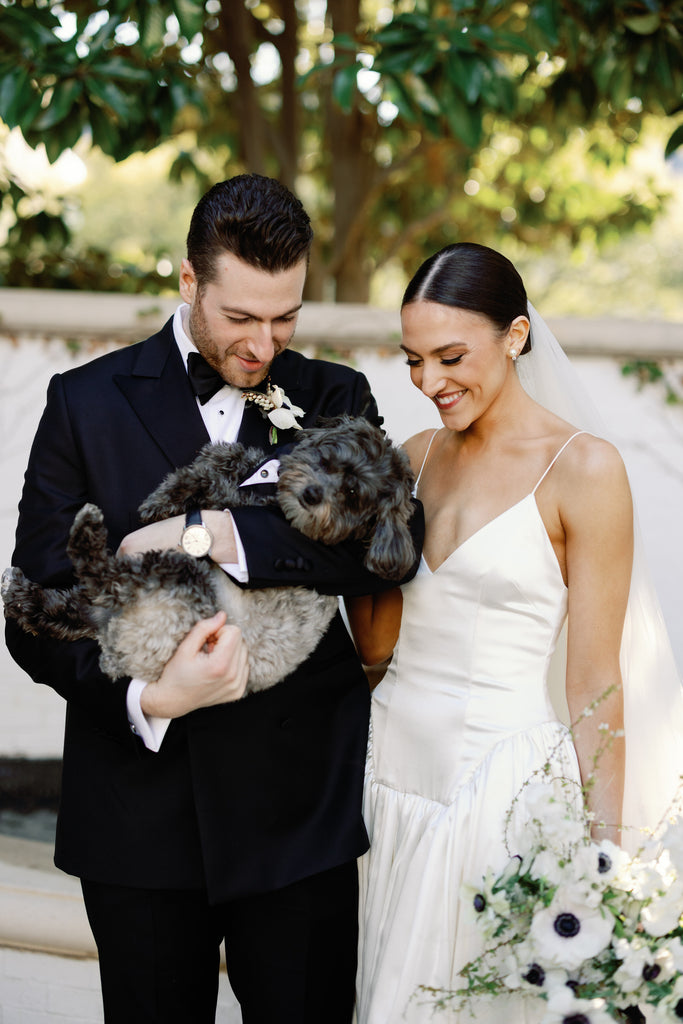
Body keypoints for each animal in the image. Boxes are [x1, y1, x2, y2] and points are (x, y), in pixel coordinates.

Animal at [3, 415, 417, 696]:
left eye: (353, 494)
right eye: (329, 459)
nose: (312, 495)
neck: (273, 495)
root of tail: (119, 651)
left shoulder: (241, 508)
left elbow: (216, 485)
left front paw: (162, 501)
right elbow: (225, 456)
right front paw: (178, 485)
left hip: (178, 577)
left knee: (102, 578)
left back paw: (84, 536)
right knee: (72, 608)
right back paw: (25, 596)